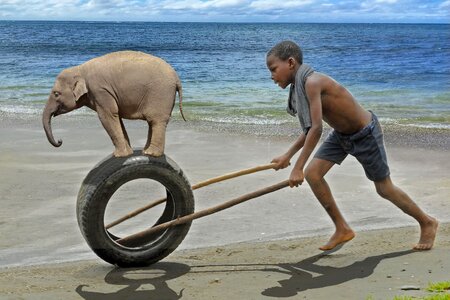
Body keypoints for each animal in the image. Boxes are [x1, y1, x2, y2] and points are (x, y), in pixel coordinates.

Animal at [41, 50, 183, 157]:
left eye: (56, 94)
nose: (60, 140)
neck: (80, 69)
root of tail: (177, 78)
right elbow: (116, 117)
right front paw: (128, 153)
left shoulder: (100, 91)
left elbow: (107, 116)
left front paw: (119, 155)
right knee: (152, 122)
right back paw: (145, 151)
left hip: (160, 94)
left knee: (156, 121)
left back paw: (151, 153)